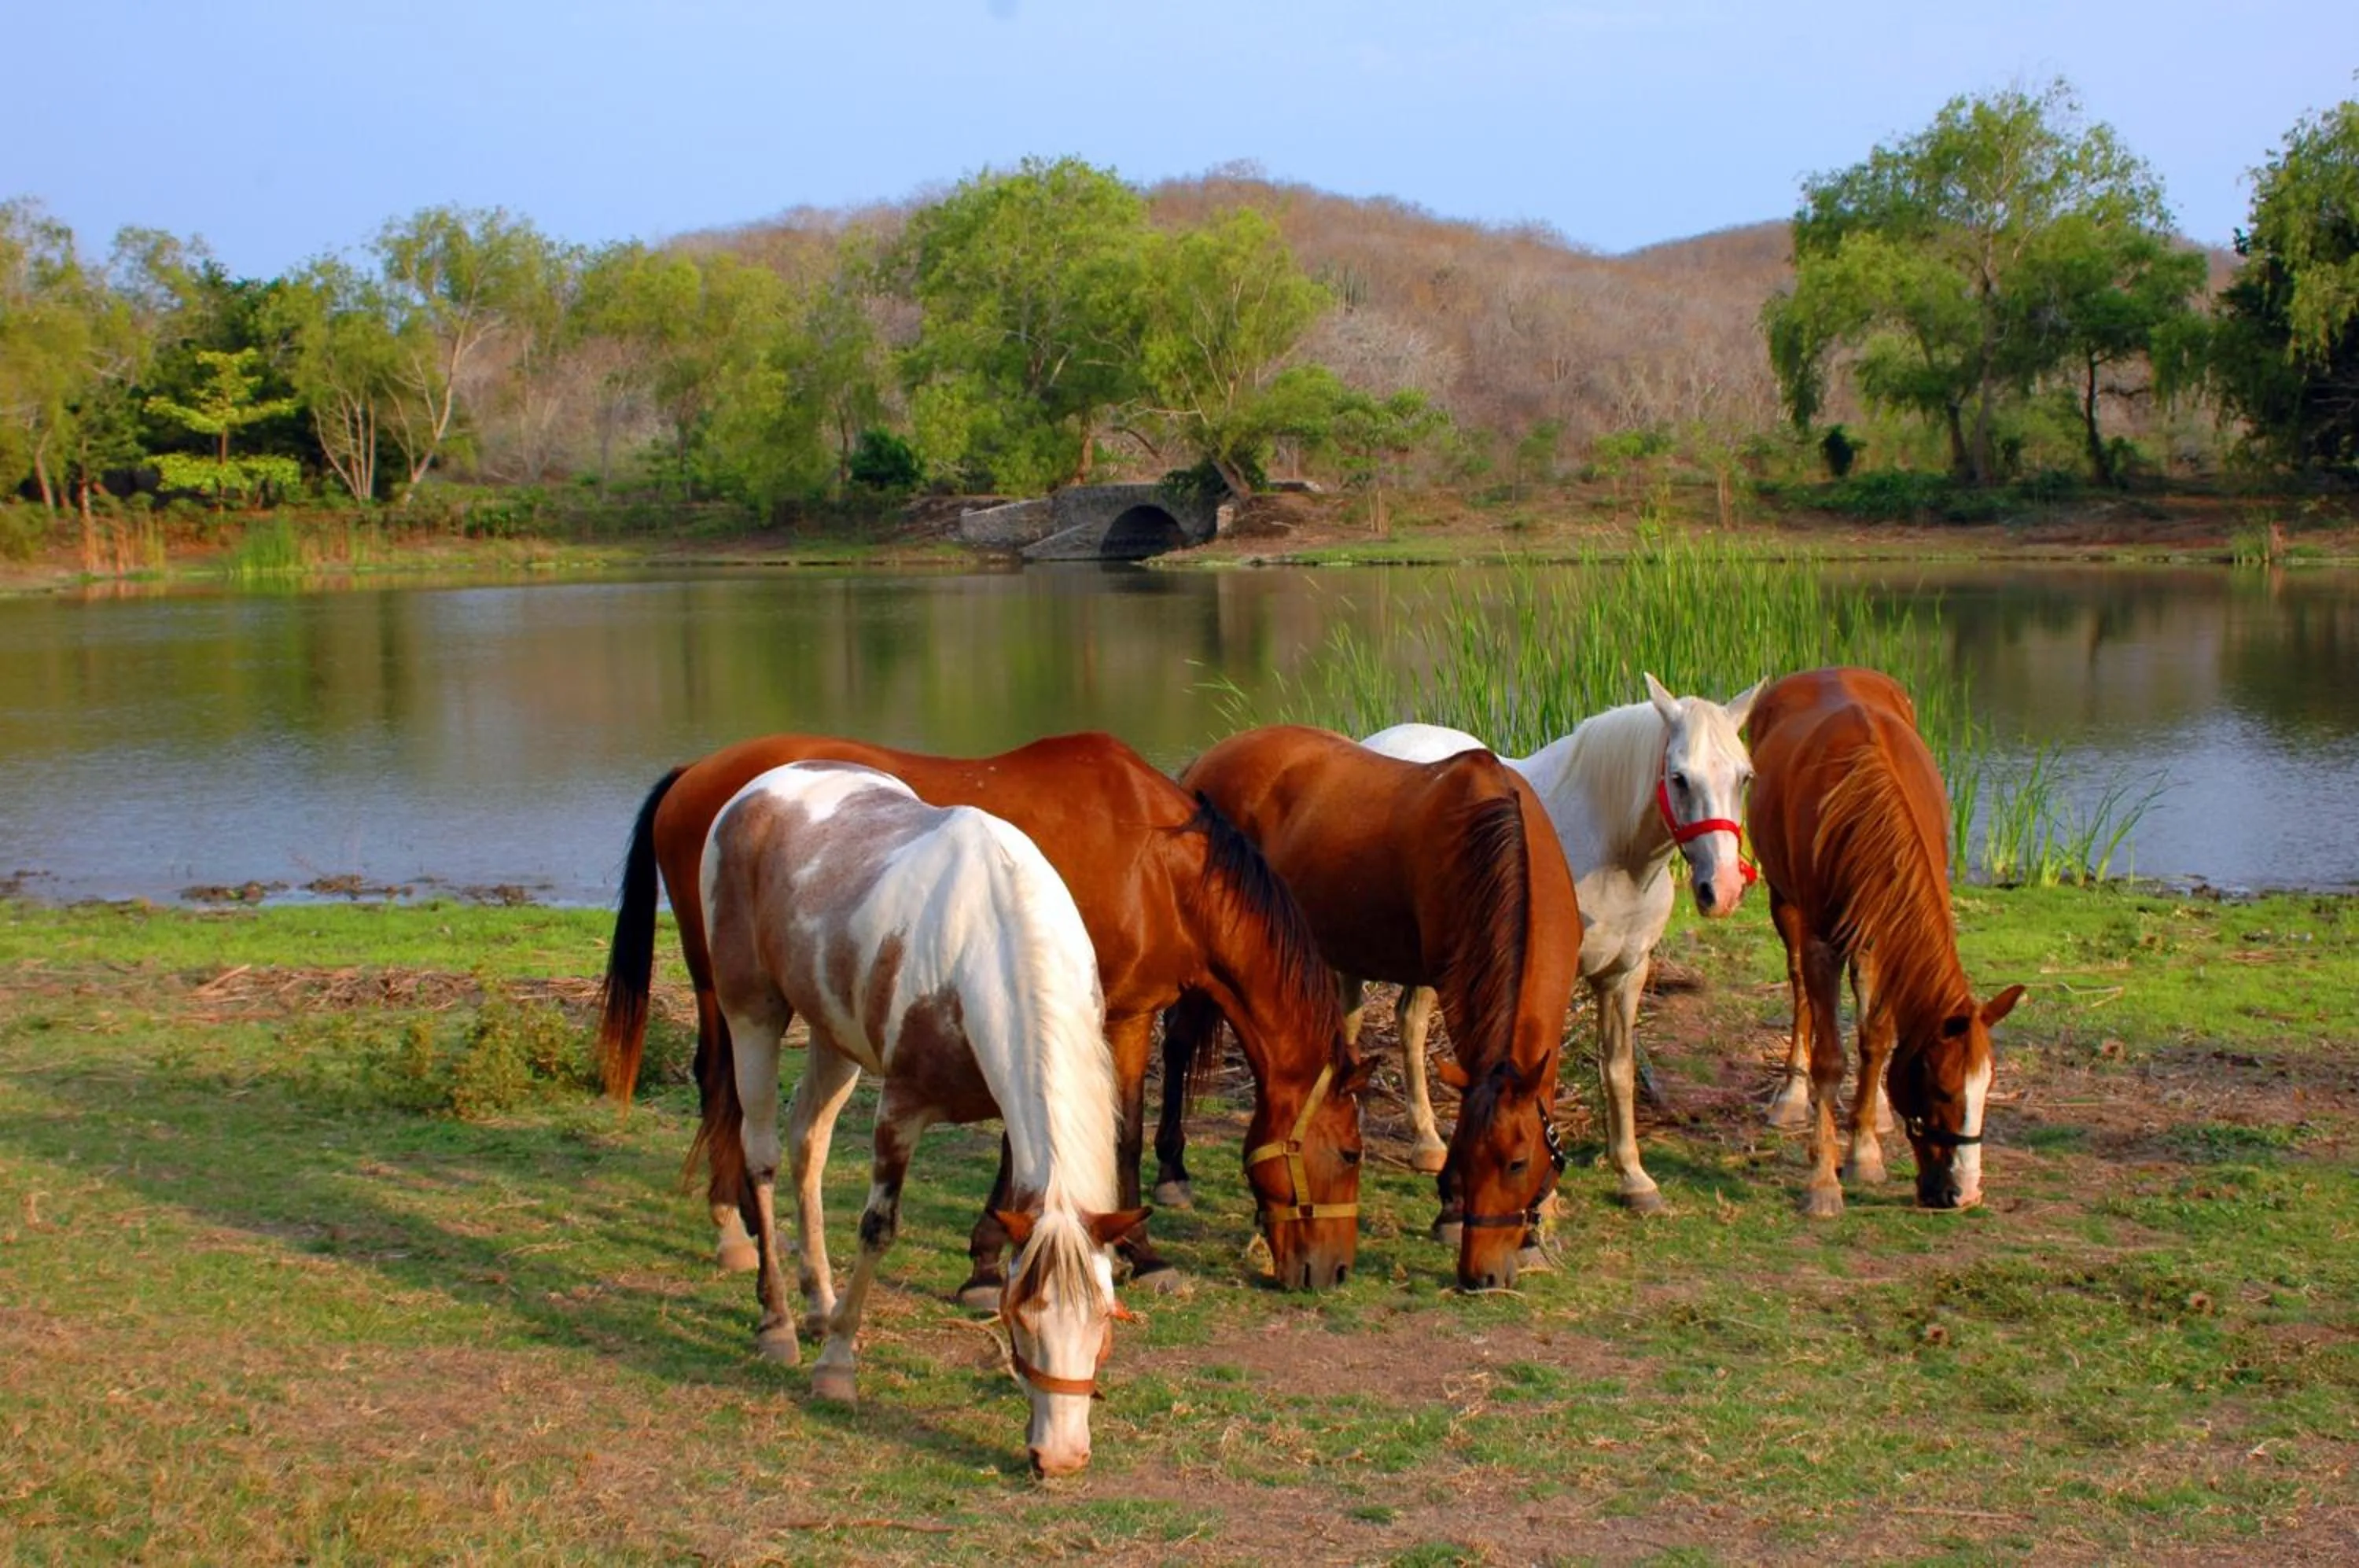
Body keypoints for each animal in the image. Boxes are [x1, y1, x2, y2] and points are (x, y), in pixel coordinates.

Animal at [598, 731, 1366, 1298]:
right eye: (1351, 1153)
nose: (1332, 1272)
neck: (1157, 861)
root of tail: (697, 773)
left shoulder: (1101, 1017)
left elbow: (1091, 1135)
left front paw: (1111, 1251)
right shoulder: (1093, 1016)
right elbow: (1081, 1138)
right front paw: (1010, 1262)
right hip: (720, 985)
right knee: (718, 1084)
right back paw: (736, 1231)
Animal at [698, 760, 1142, 1475]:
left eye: (1104, 1316)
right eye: (1024, 1318)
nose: (1061, 1457)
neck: (984, 946)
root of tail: (759, 787)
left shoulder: (1011, 1118)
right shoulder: (900, 1109)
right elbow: (878, 1229)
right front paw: (837, 1369)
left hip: (833, 1037)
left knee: (808, 1144)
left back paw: (820, 1305)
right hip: (751, 1012)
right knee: (760, 1153)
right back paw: (780, 1325)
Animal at [1170, 725, 1581, 1291]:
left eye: (1518, 1164)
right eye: (1467, 1161)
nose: (1482, 1275)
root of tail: (1207, 760)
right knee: (1176, 1044)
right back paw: (1172, 1175)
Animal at [1361, 673, 1761, 1213]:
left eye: (1744, 777)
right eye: (1679, 777)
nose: (1722, 889)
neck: (1611, 851)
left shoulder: (1626, 974)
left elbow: (1618, 1070)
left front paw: (1634, 1178)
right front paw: (1544, 1197)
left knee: (1410, 1021)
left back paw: (1426, 1143)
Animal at [1746, 667, 2025, 1217]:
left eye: (1988, 1088)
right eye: (1941, 1090)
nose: (1964, 1192)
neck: (1864, 799)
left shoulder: (1881, 933)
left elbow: (1876, 1040)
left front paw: (1865, 1152)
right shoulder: (1820, 940)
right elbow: (1831, 1057)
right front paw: (1823, 1181)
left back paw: (1873, 1113)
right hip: (1784, 901)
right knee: (1798, 988)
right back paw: (1792, 1094)